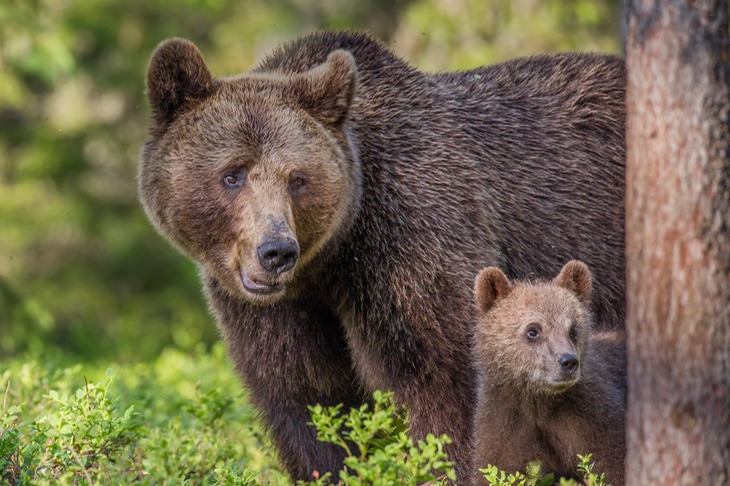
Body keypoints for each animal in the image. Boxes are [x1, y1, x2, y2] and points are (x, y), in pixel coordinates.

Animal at [472, 262, 624, 486]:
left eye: (573, 330)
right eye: (533, 330)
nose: (568, 361)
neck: (539, 401)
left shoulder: (591, 417)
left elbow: (612, 465)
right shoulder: (504, 419)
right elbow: (495, 468)